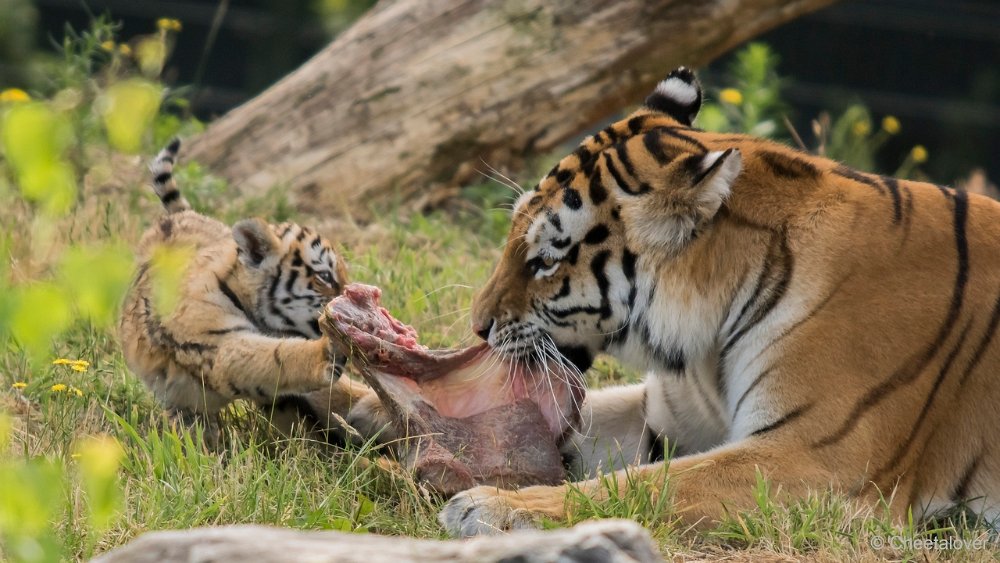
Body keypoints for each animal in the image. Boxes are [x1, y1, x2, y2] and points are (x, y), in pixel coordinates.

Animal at [119, 139, 376, 442]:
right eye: (324, 276)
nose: (353, 295)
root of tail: (182, 216)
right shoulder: (218, 347)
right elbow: (276, 356)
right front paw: (329, 350)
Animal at [442, 67, 1000, 536]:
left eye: (546, 260)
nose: (478, 326)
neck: (713, 340)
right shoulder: (670, 416)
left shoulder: (818, 461)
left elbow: (648, 485)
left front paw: (488, 506)